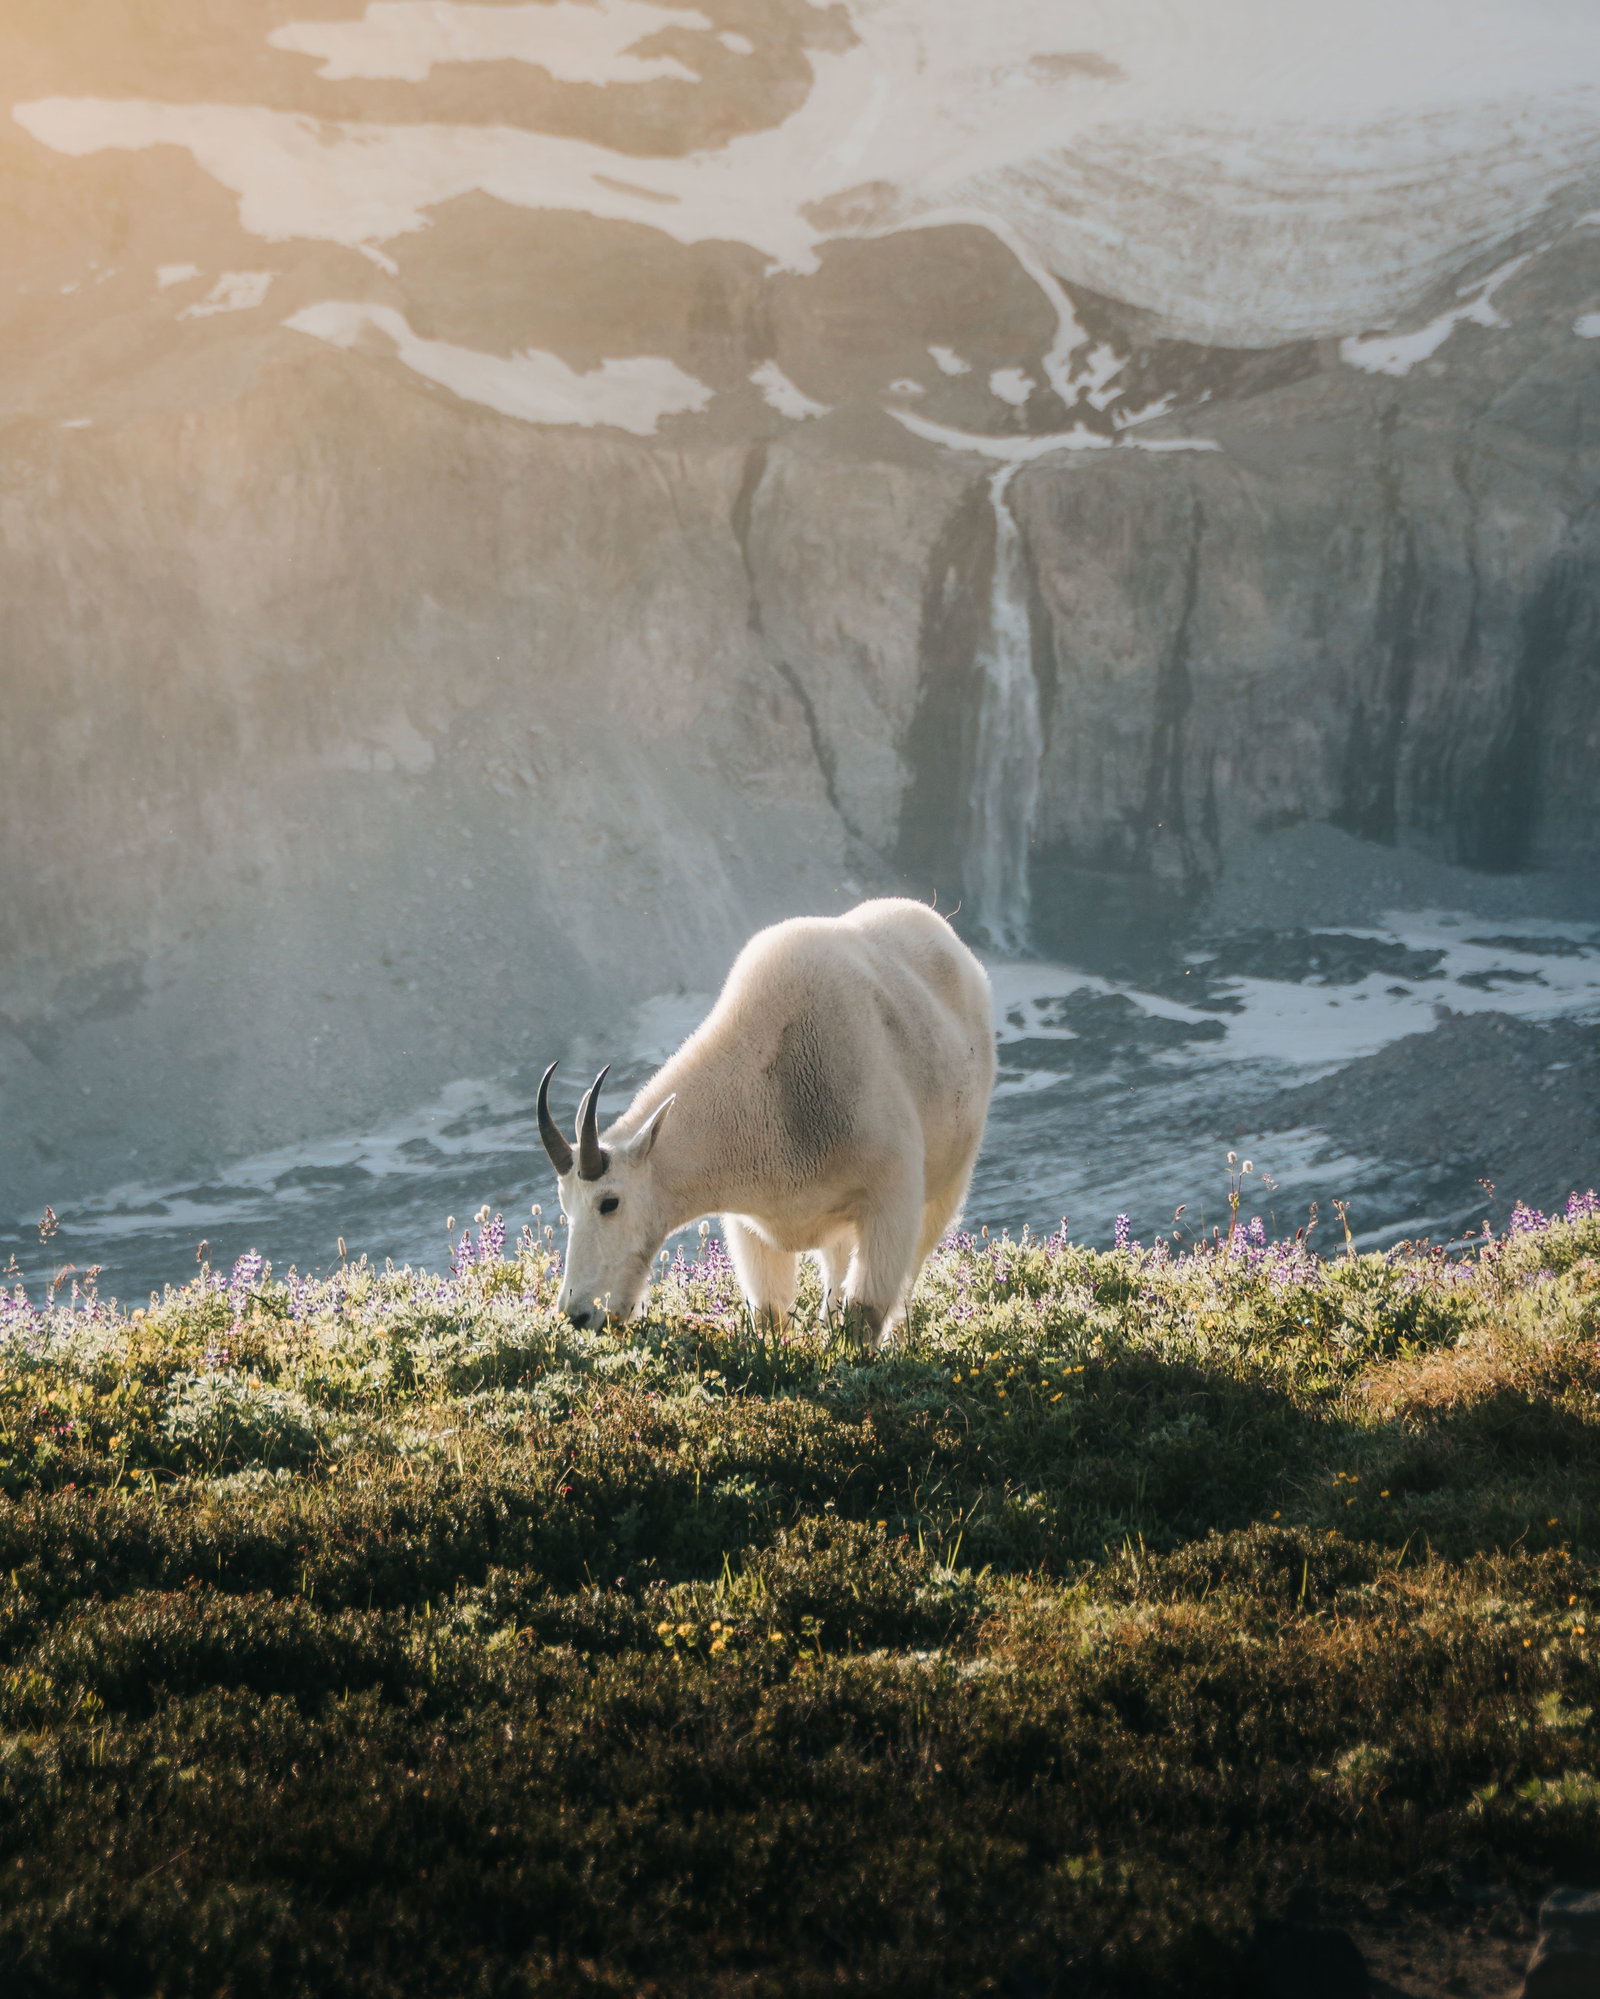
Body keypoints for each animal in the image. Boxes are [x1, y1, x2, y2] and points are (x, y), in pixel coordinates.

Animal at [539, 898, 994, 1343]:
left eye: (609, 1202)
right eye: (564, 1205)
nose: (578, 1314)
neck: (770, 1091)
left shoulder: (890, 1197)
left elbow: (864, 1312)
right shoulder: (751, 1227)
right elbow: (770, 1313)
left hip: (948, 1182)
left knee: (908, 1274)